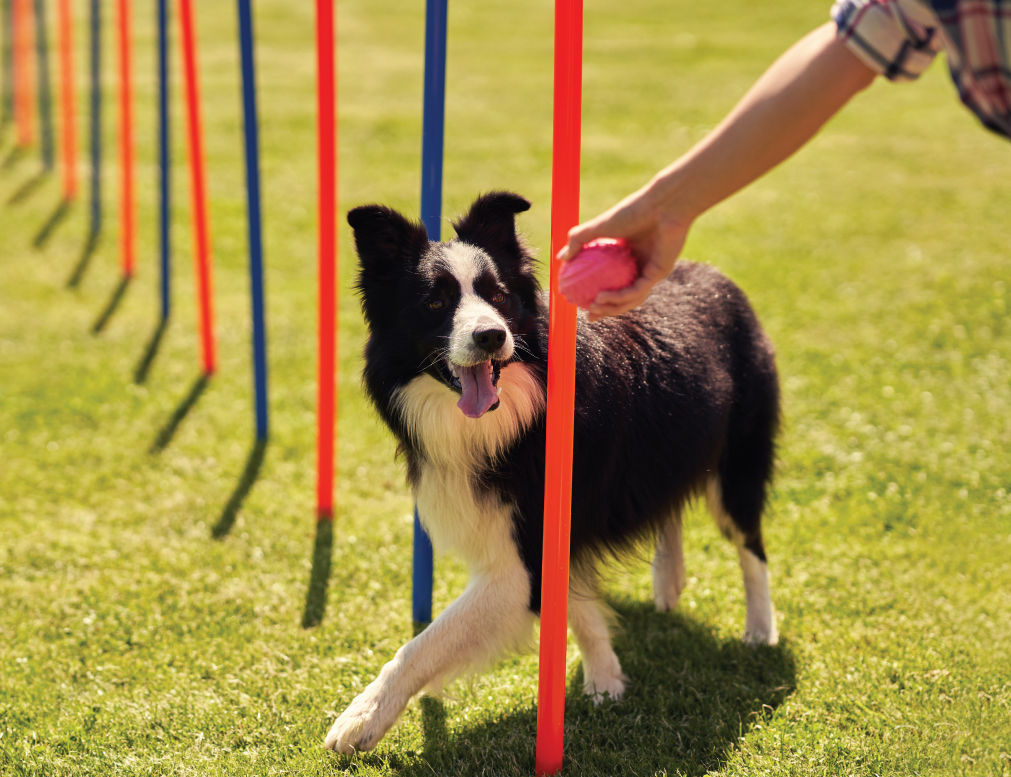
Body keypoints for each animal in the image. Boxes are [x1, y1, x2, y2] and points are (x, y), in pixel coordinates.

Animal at [323, 189, 780, 751]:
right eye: (434, 302)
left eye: (498, 296)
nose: (491, 336)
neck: (512, 417)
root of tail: (713, 273)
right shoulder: (552, 537)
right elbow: (576, 605)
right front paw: (605, 678)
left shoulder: (523, 557)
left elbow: (427, 643)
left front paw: (360, 718)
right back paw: (669, 582)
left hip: (740, 459)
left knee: (750, 542)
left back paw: (760, 629)